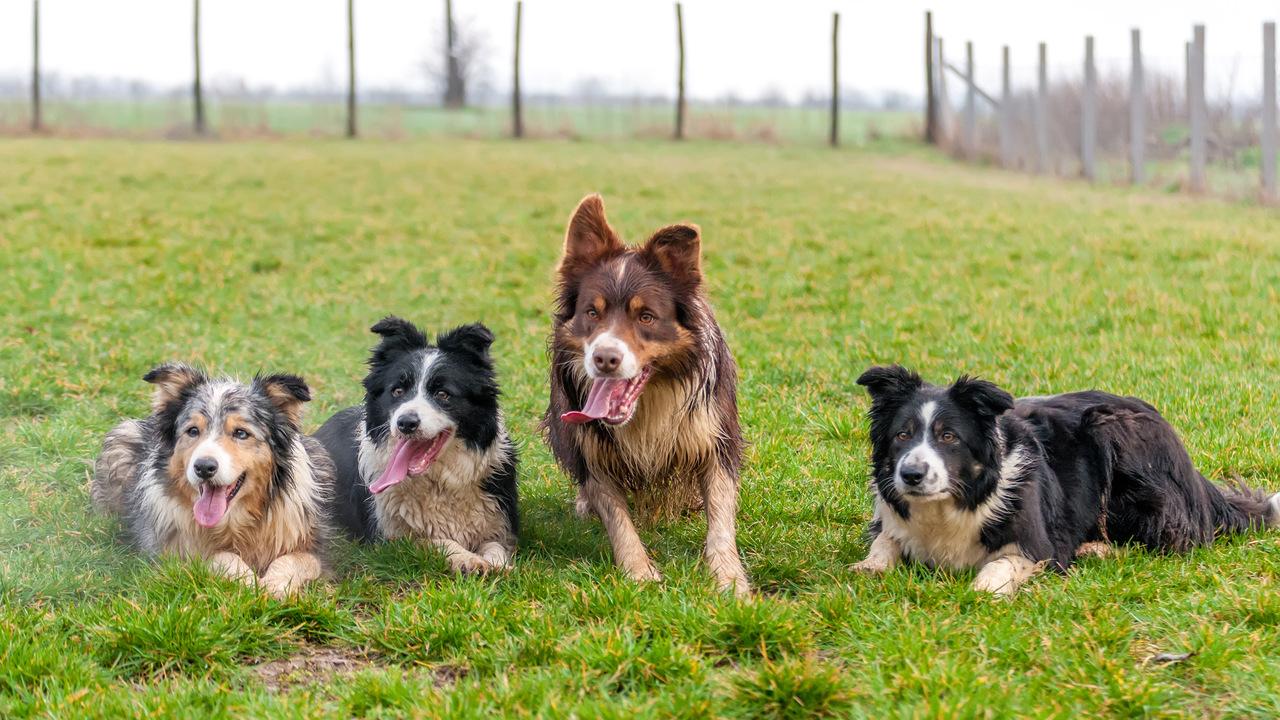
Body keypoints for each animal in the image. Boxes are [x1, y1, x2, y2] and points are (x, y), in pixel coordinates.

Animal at [542, 193, 747, 591]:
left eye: (646, 317)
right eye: (592, 312)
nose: (605, 358)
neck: (649, 400)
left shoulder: (715, 434)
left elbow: (721, 514)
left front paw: (729, 578)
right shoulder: (593, 447)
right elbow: (617, 518)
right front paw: (640, 574)